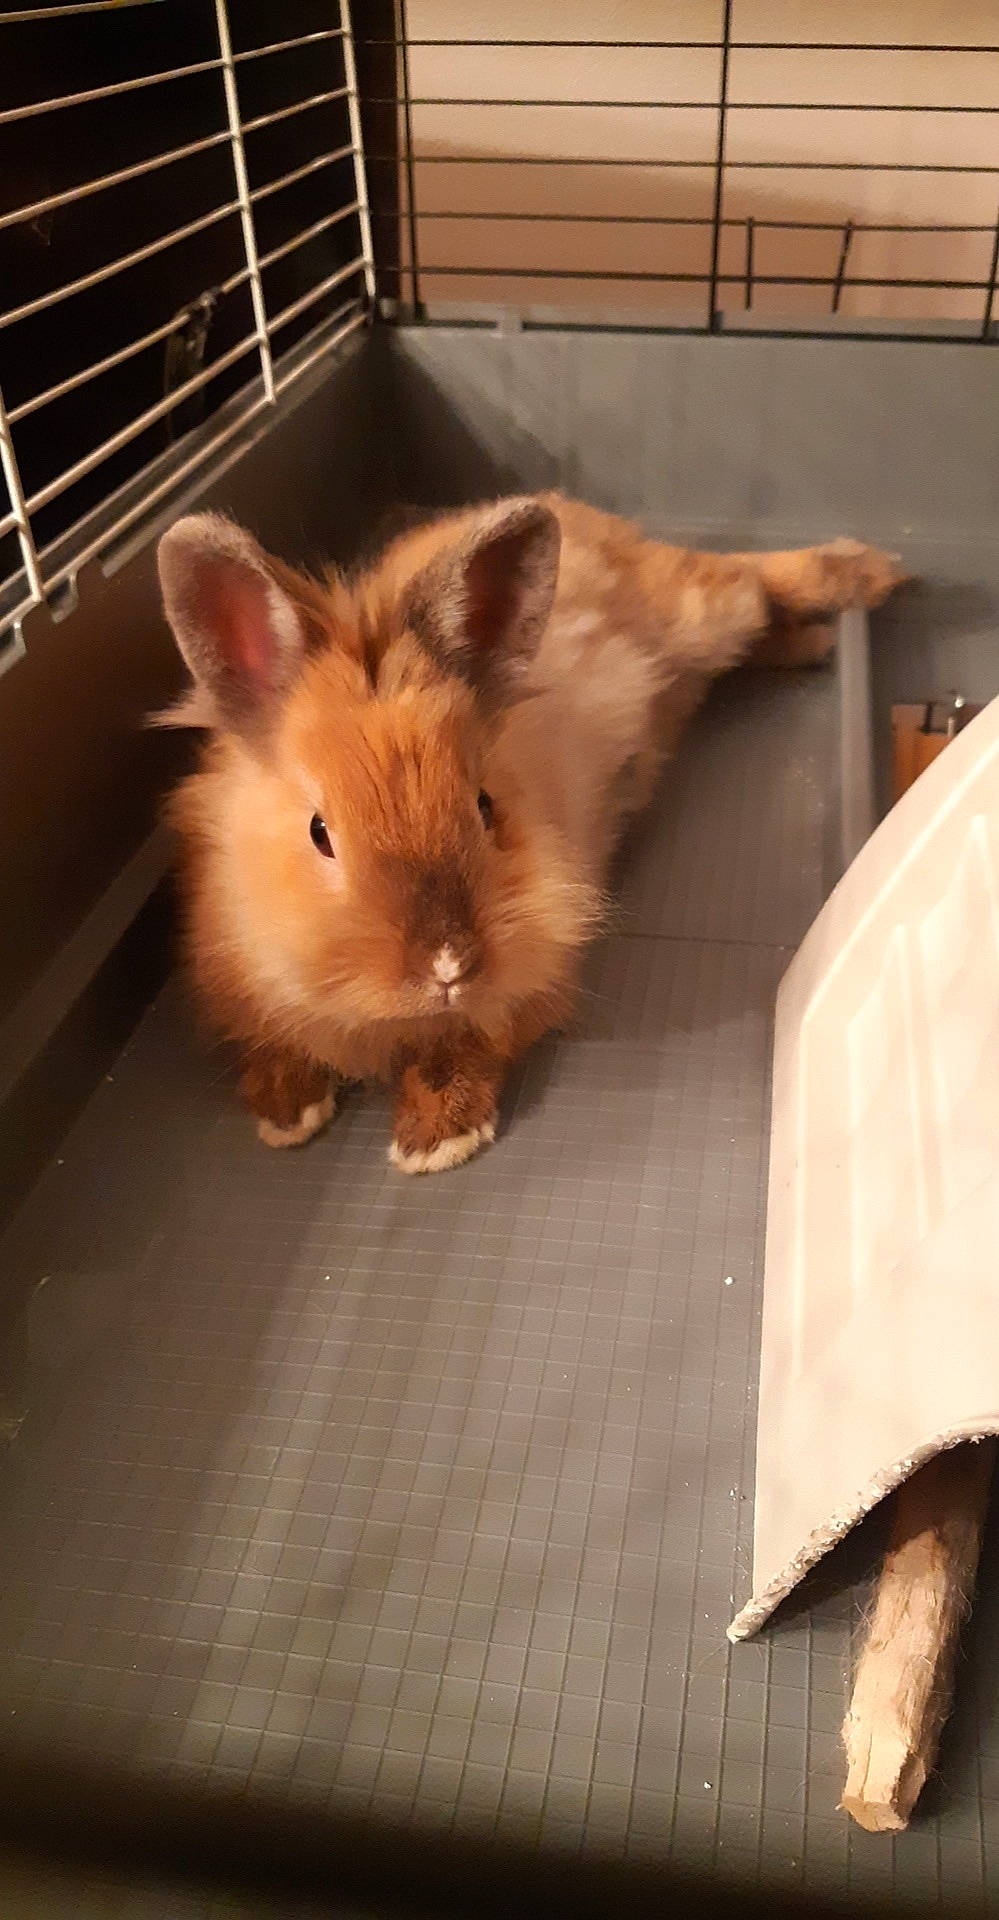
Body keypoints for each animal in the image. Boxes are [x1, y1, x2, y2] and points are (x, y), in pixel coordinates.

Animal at [156, 492, 904, 1172]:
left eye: (484, 806)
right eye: (319, 833)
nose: (447, 967)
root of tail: (576, 509)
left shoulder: (536, 960)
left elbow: (465, 1049)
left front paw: (436, 1139)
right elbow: (272, 1048)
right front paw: (286, 1114)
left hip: (704, 607)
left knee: (755, 578)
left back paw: (868, 571)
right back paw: (817, 643)